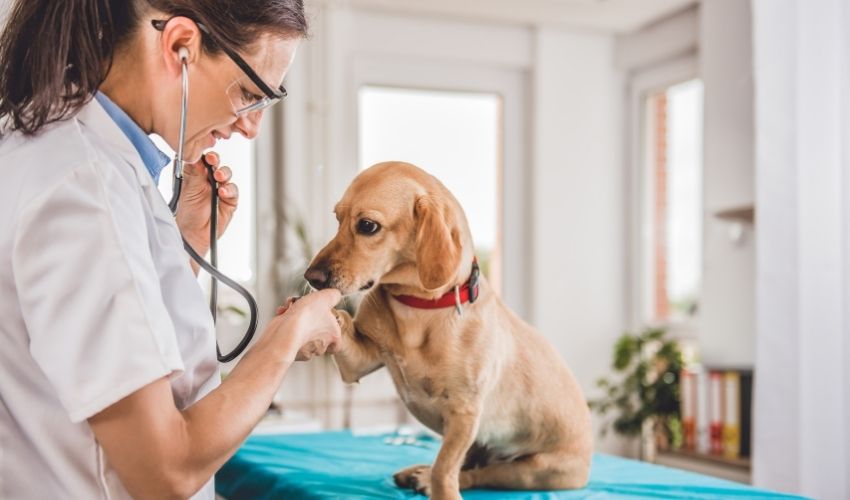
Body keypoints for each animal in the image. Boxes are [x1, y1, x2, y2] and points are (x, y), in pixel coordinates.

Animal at [304, 162, 588, 498]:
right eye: (338, 218)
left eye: (368, 226)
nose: (311, 277)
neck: (416, 308)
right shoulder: (358, 363)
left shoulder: (464, 413)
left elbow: (445, 469)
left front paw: (439, 487)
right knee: (468, 466)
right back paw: (419, 473)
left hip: (533, 471)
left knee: (478, 473)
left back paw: (427, 478)